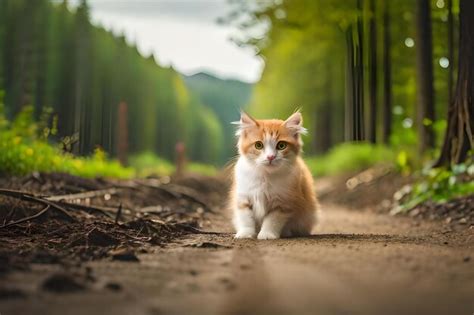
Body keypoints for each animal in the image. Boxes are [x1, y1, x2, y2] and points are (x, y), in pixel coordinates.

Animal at [230, 111, 318, 239]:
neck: (265, 176)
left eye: (281, 145)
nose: (270, 157)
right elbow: (246, 219)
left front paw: (267, 234)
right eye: (258, 145)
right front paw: (245, 234)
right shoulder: (243, 198)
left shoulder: (282, 203)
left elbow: (272, 221)